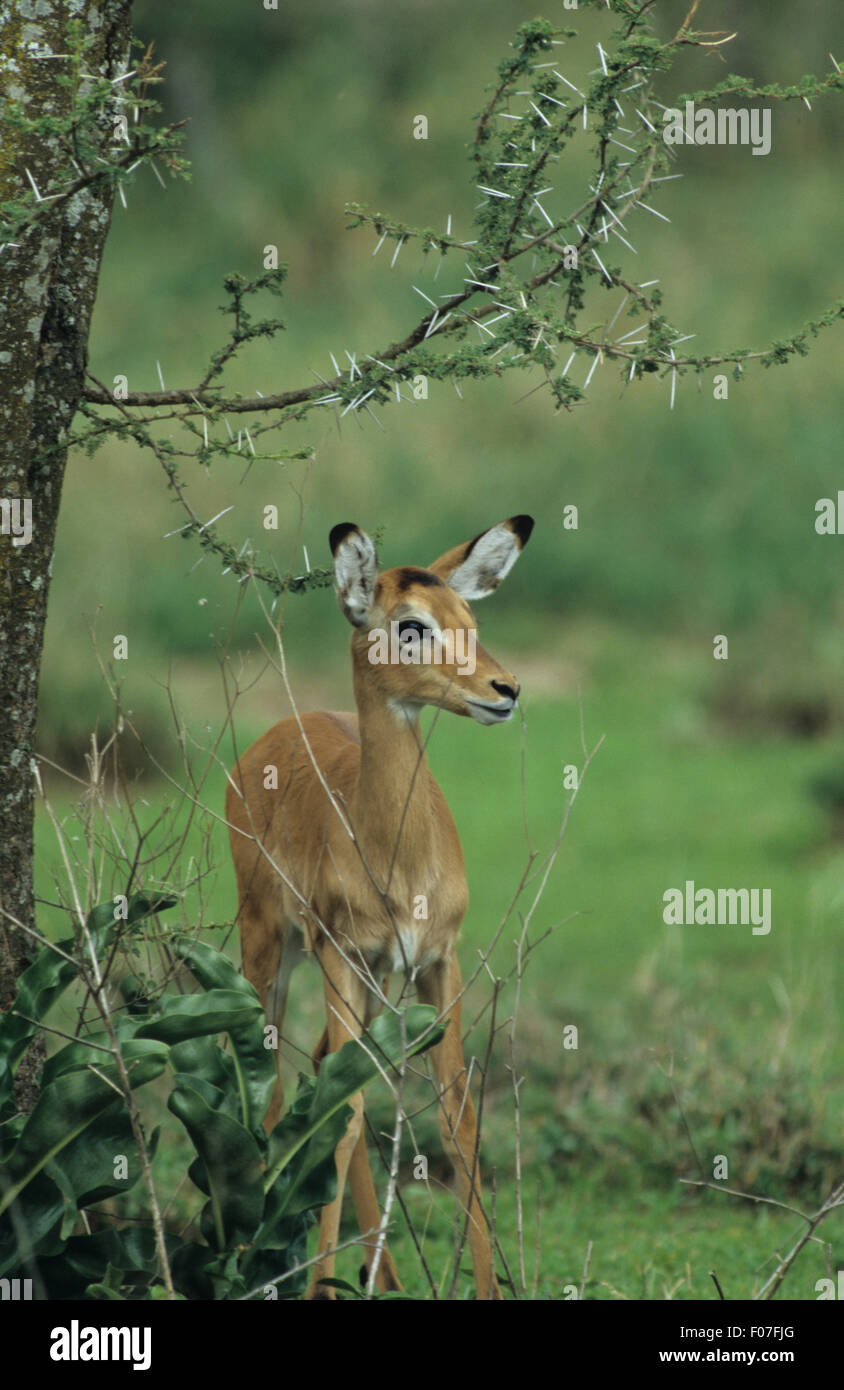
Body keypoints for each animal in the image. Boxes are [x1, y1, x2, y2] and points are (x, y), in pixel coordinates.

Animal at [226, 514, 534, 1300]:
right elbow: (345, 1109)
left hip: (366, 984)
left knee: (327, 1067)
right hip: (272, 949)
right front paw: (316, 1281)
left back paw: (382, 1270)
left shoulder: (437, 961)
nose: (506, 689)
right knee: (276, 1088)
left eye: (470, 620)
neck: (399, 856)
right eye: (411, 624)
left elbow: (456, 1114)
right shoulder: (341, 954)